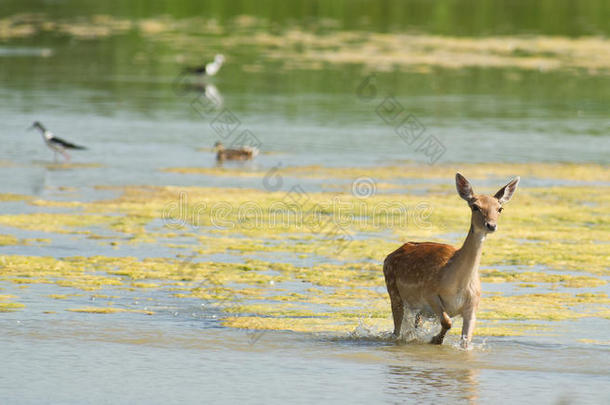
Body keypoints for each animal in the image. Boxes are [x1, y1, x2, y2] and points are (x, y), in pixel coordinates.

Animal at [380, 173, 516, 348]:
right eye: (475, 206)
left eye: (500, 208)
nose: (491, 225)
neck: (458, 286)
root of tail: (389, 256)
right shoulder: (429, 292)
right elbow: (447, 321)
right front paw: (435, 339)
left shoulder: (473, 305)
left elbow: (465, 340)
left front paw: (438, 339)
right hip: (393, 292)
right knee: (396, 329)